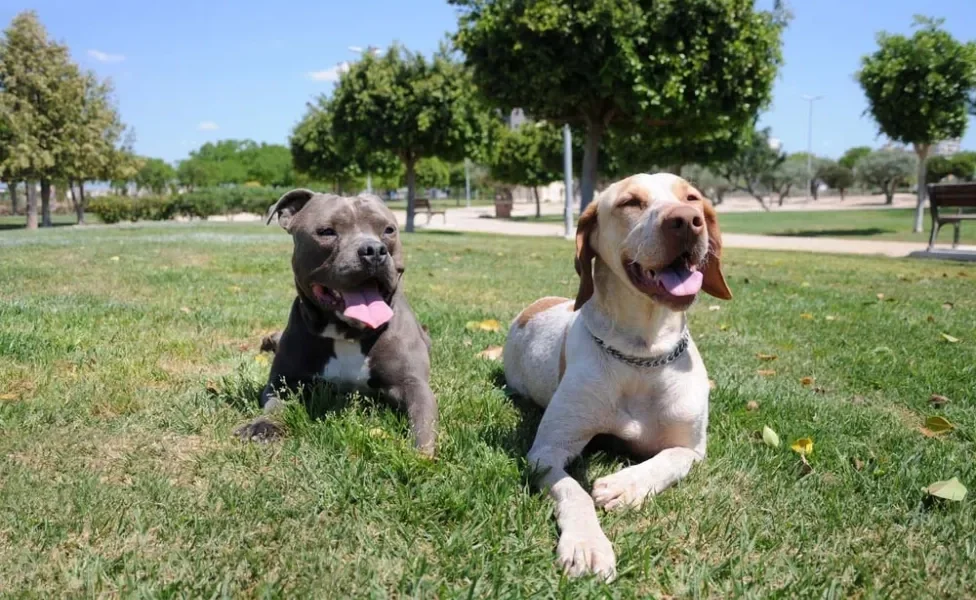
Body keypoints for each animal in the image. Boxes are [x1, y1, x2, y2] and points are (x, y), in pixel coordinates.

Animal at [234, 188, 436, 454]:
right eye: (327, 231)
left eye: (388, 229)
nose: (373, 250)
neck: (347, 333)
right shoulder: (284, 383)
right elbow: (274, 406)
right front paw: (262, 425)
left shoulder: (413, 384)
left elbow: (422, 423)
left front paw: (419, 456)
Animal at [508, 172, 728, 580]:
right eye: (630, 202)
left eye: (692, 197)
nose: (686, 220)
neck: (643, 354)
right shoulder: (546, 451)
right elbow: (573, 490)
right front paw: (586, 543)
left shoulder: (693, 449)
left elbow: (669, 459)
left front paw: (626, 484)